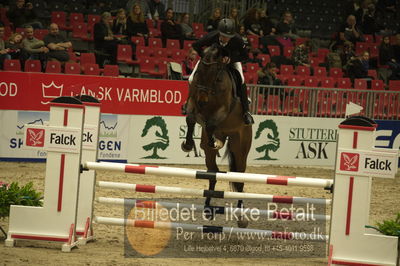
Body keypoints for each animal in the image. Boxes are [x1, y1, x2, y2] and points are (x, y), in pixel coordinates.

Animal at [182, 44, 253, 228]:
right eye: (198, 72)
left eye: (216, 75)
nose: (203, 99)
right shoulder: (193, 103)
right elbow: (191, 118)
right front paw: (188, 144)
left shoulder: (223, 110)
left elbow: (210, 124)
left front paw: (213, 140)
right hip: (210, 154)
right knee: (213, 173)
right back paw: (208, 208)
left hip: (240, 148)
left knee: (239, 180)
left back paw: (241, 217)